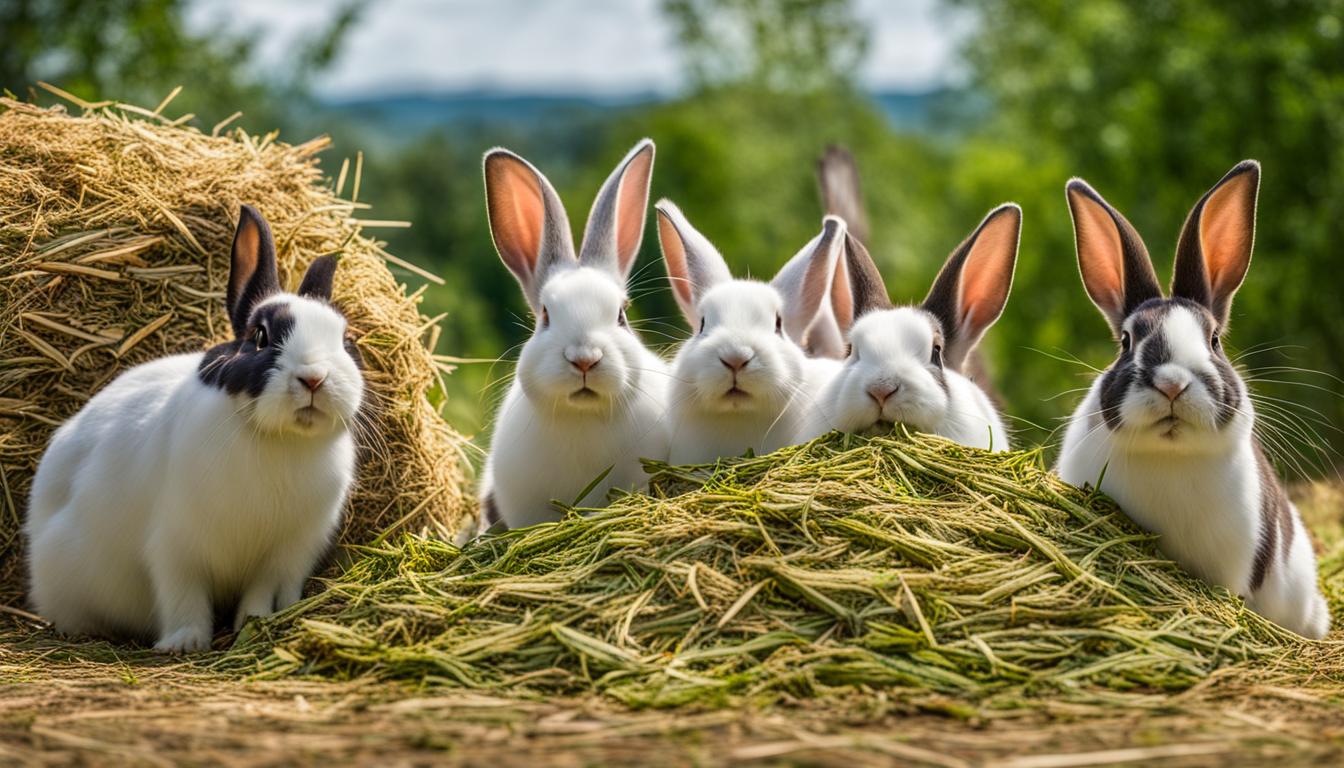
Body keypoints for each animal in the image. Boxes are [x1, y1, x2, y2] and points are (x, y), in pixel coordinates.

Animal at [30, 207, 368, 650]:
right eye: (260, 336)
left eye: (346, 340)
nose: (314, 378)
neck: (280, 440)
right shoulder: (176, 547)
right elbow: (183, 595)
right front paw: (185, 642)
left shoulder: (282, 557)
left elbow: (260, 592)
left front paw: (255, 622)